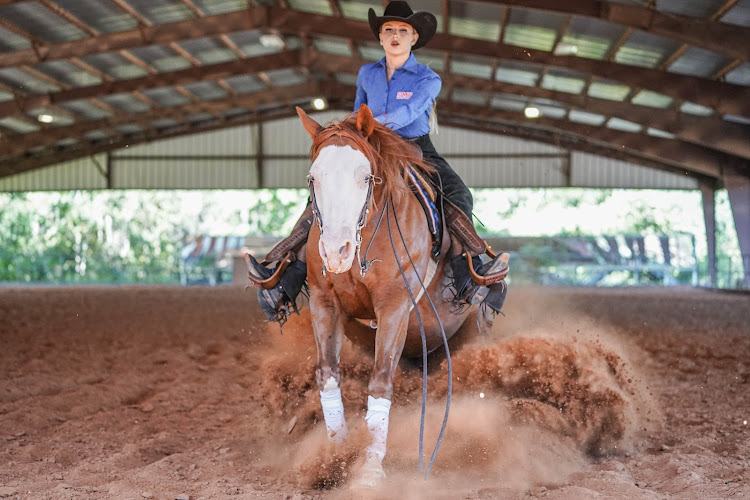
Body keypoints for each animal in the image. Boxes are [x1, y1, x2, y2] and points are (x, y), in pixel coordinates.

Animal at [300, 104, 476, 484]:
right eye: (313, 178)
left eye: (365, 177)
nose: (336, 251)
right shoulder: (324, 302)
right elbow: (328, 376)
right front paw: (335, 454)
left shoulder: (394, 305)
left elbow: (380, 382)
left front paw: (370, 467)